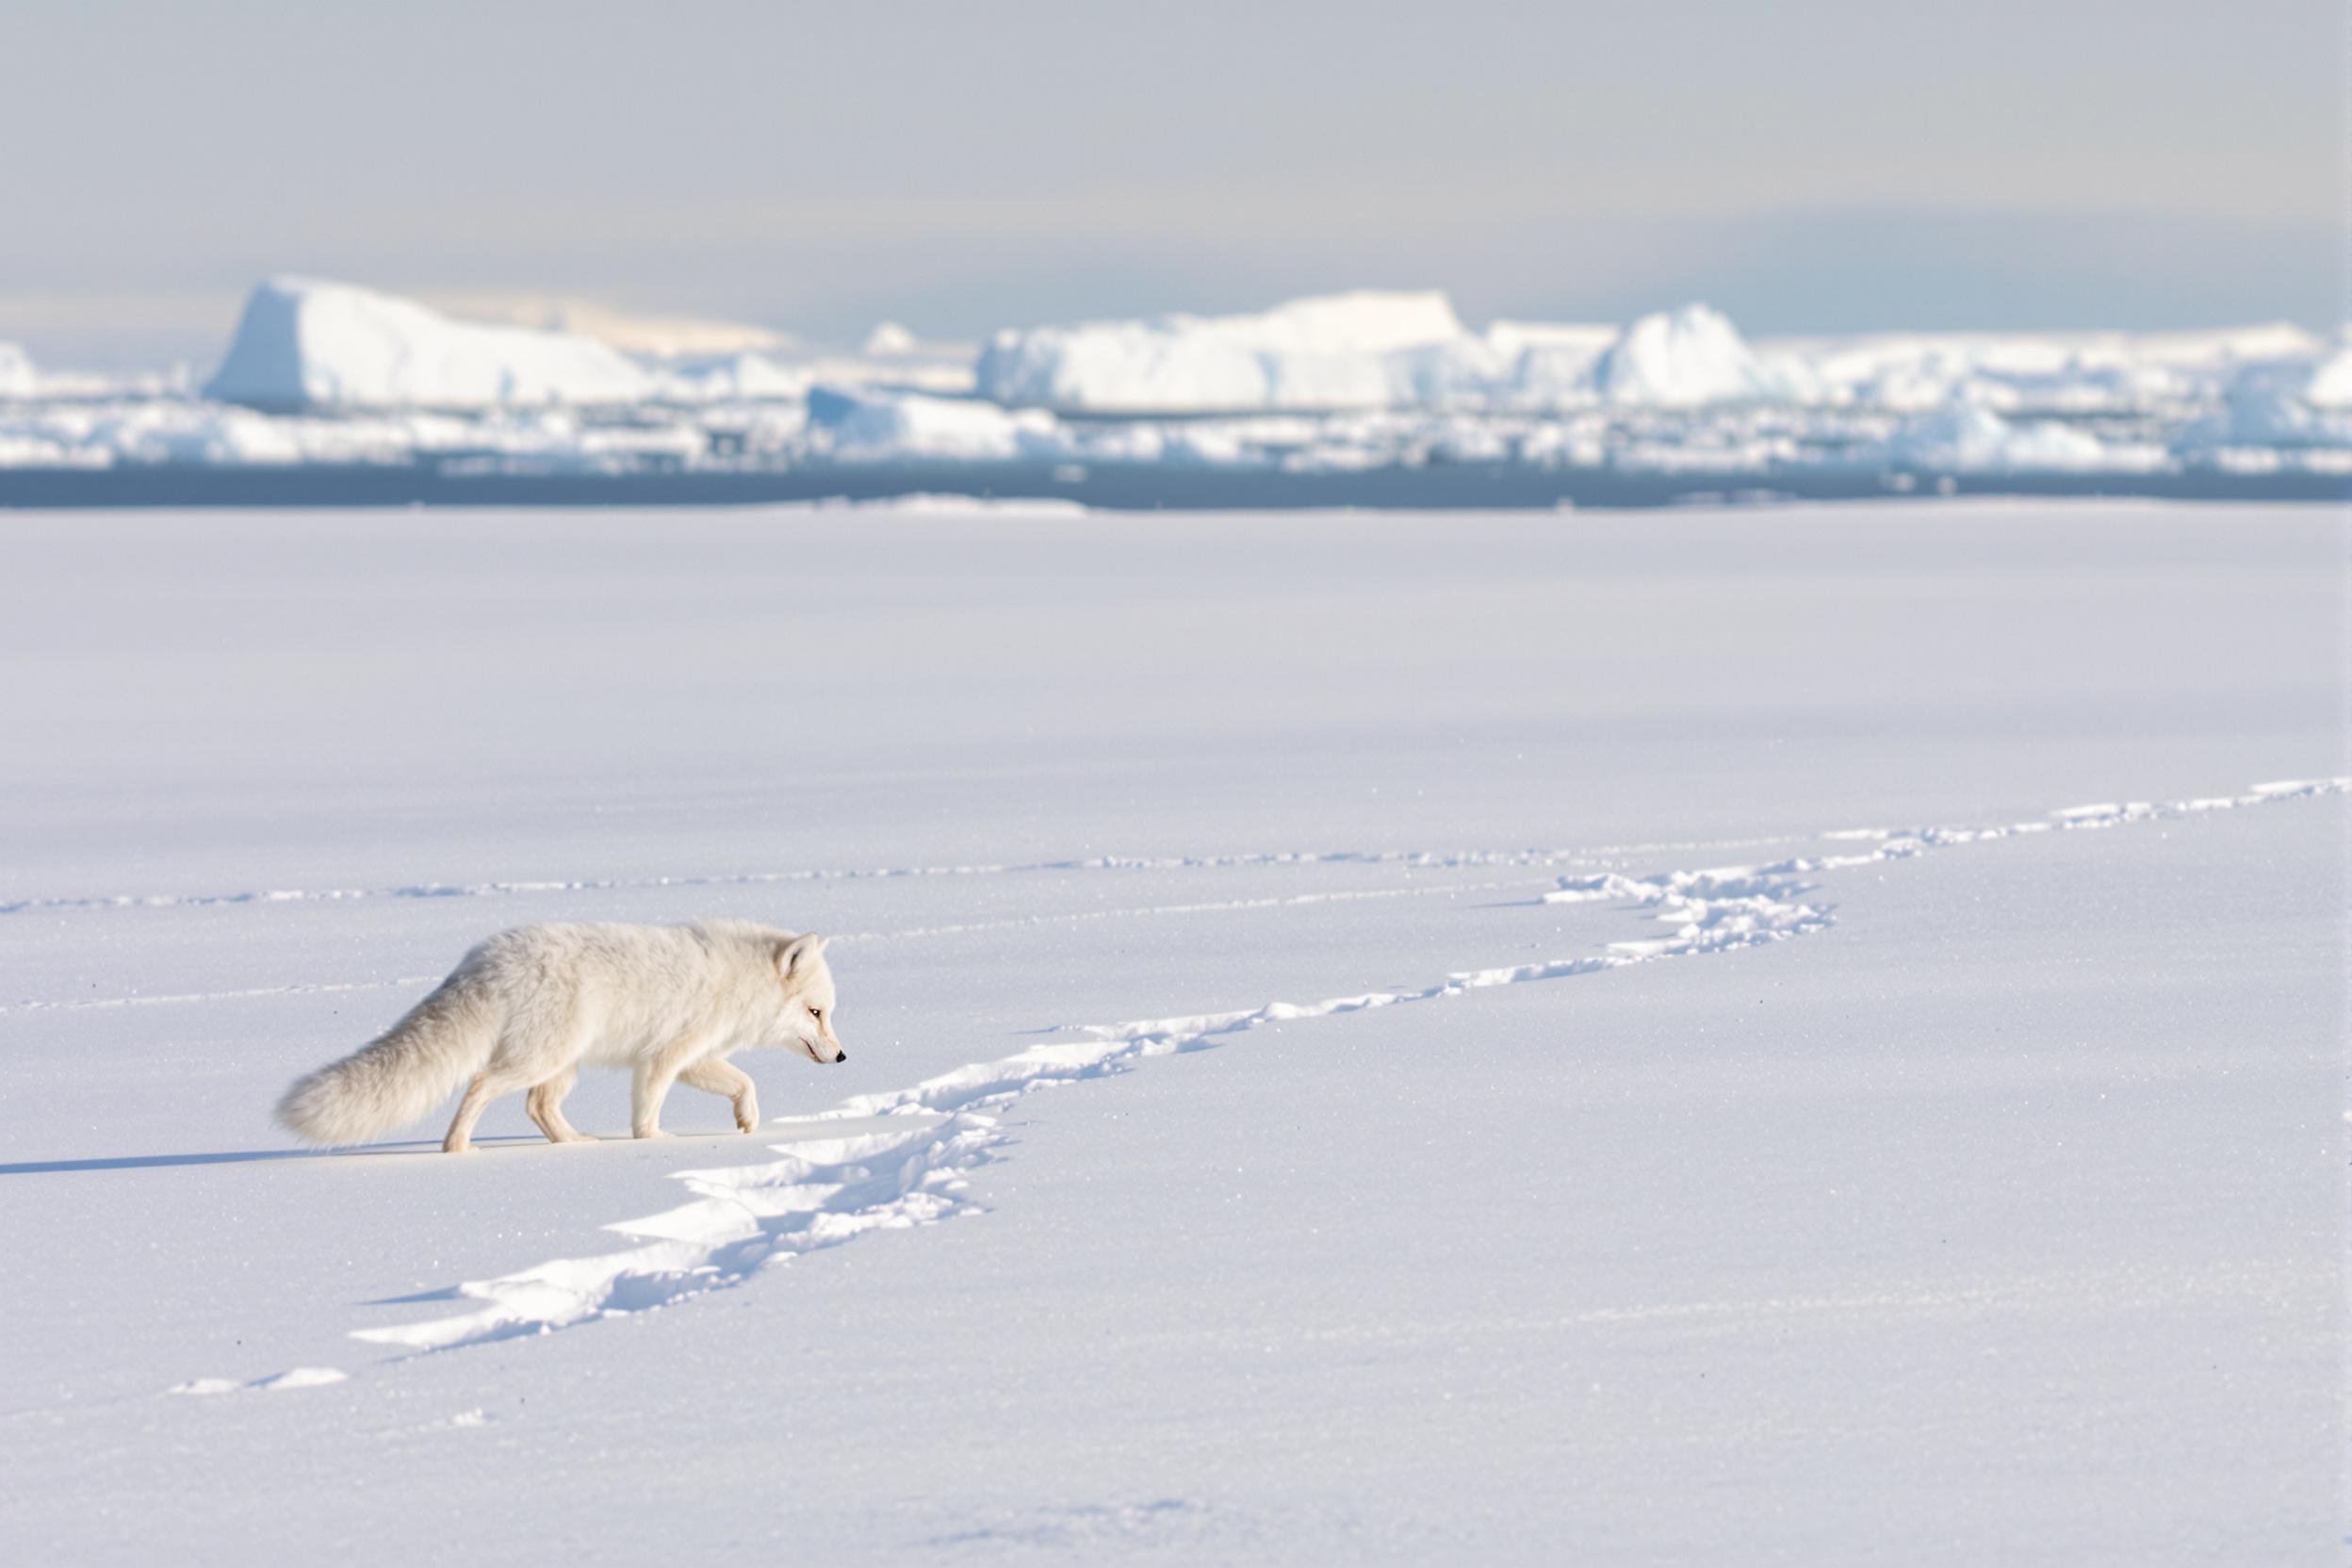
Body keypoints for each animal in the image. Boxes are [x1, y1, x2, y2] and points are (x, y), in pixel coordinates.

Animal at [276, 921, 846, 1152]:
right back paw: (457, 1149)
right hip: (541, 1058)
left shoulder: (690, 1060)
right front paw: (654, 1141)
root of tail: (482, 960)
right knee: (480, 1085)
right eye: (816, 1012)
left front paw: (746, 1121)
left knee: (538, 1107)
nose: (842, 1056)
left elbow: (744, 1082)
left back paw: (573, 1144)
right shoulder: (664, 1058)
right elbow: (650, 1113)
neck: (737, 979)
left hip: (562, 1066)